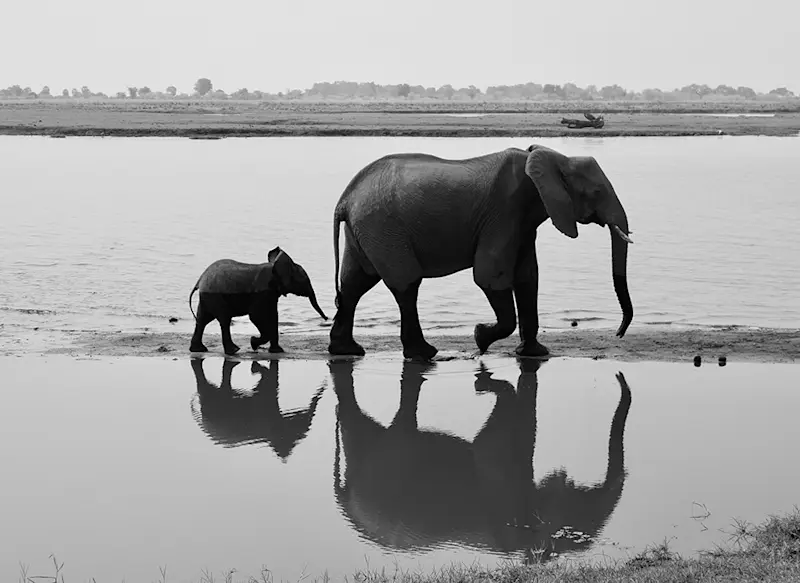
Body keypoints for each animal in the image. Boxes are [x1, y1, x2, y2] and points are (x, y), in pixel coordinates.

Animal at [189, 246, 328, 356]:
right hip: (215, 297)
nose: (327, 319)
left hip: (208, 298)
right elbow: (256, 316)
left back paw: (198, 350)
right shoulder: (262, 293)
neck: (275, 267)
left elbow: (273, 316)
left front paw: (277, 351)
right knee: (224, 320)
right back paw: (234, 351)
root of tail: (200, 280)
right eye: (304, 280)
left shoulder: (271, 294)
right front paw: (253, 342)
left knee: (202, 320)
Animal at [327, 144, 634, 360]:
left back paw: (347, 351)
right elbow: (490, 275)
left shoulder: (523, 222)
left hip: (366, 229)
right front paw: (479, 338)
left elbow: (527, 277)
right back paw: (424, 354)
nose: (619, 334)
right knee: (405, 284)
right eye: (596, 192)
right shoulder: (504, 212)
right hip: (383, 227)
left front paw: (534, 354)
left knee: (354, 283)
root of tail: (344, 200)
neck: (553, 158)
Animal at [330, 358, 632, 562]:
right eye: (583, 513)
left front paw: (483, 380)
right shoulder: (500, 487)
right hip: (385, 470)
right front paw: (482, 381)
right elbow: (494, 431)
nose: (618, 375)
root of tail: (346, 504)